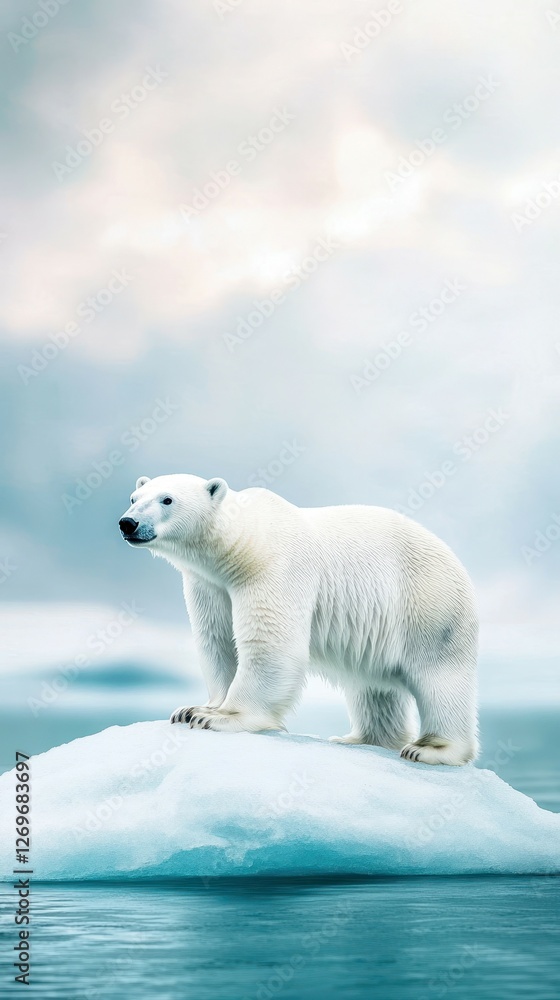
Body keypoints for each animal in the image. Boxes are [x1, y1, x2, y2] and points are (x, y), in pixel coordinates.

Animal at [119, 474, 479, 765]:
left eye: (167, 499)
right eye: (135, 498)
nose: (128, 523)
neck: (244, 543)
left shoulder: (273, 569)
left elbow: (270, 645)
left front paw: (219, 717)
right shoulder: (209, 584)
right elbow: (217, 641)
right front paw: (194, 708)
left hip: (428, 607)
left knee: (439, 678)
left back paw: (431, 748)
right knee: (371, 686)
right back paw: (363, 739)